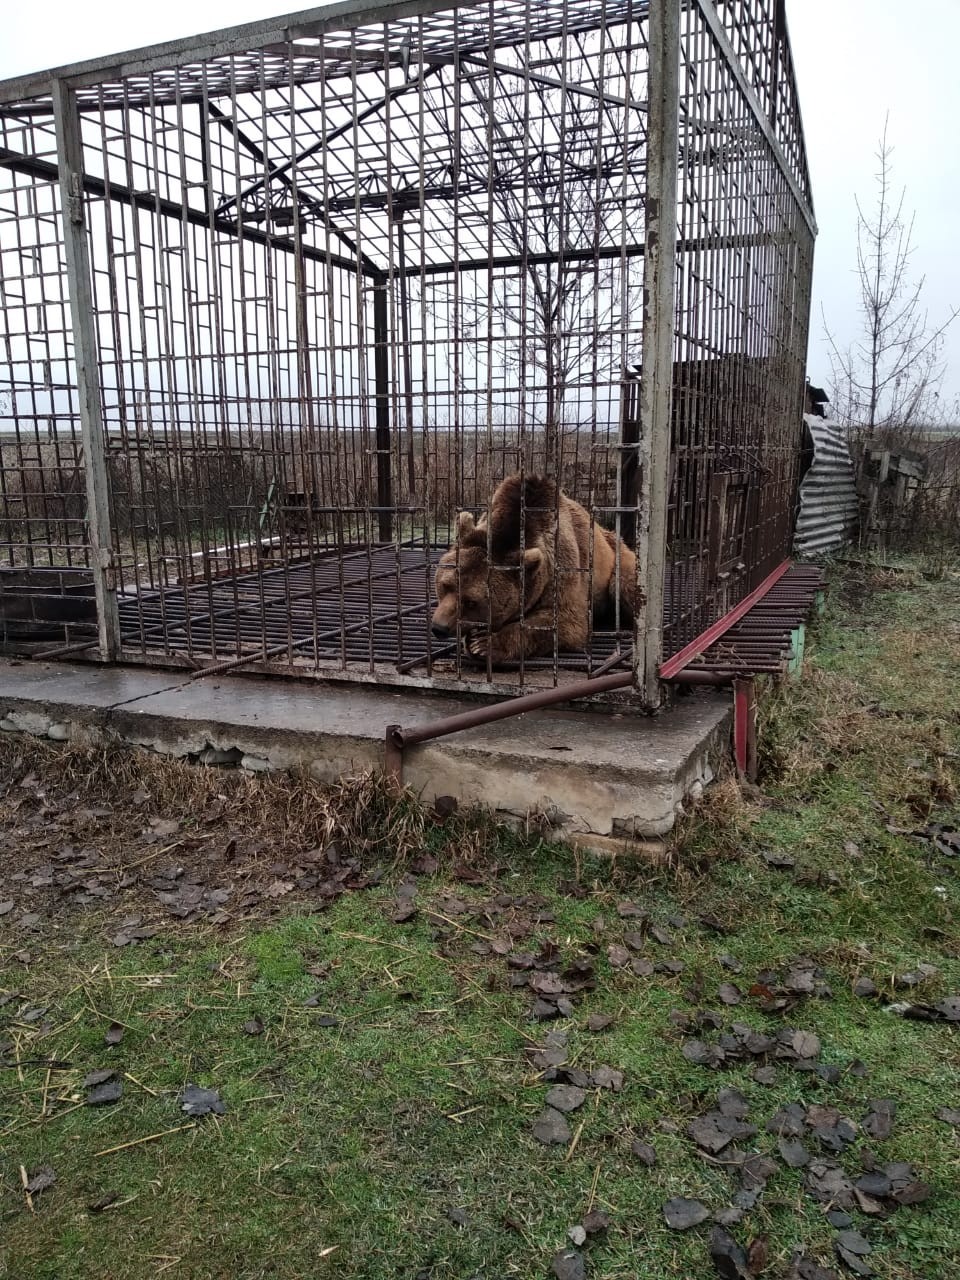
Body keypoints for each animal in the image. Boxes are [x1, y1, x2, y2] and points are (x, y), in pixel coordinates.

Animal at [430, 476, 640, 665]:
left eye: (471, 602)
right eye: (445, 585)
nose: (439, 627)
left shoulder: (562, 566)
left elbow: (565, 622)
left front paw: (484, 644)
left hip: (618, 560)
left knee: (623, 586)